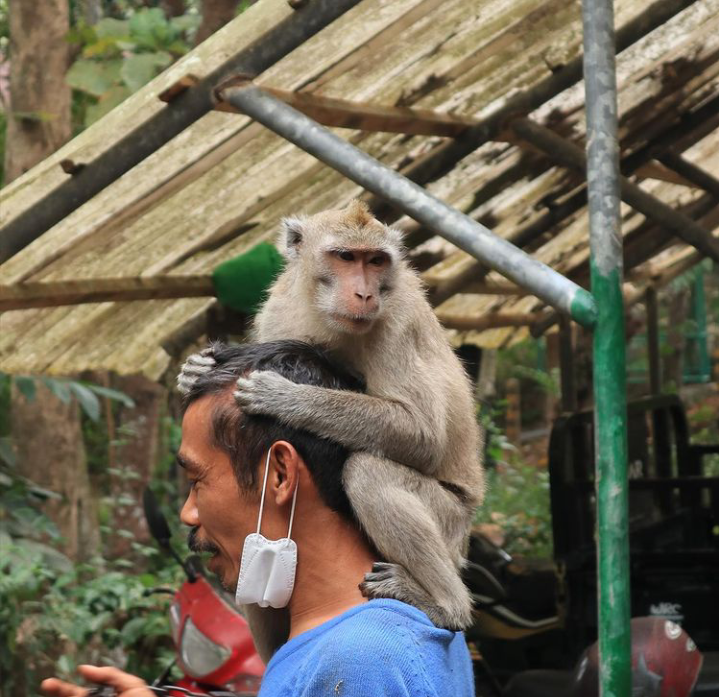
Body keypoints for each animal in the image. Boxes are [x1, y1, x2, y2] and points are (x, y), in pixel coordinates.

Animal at [179, 200, 484, 652]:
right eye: (345, 257)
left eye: (375, 261)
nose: (365, 293)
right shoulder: (280, 309)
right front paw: (196, 369)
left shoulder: (397, 319)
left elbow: (422, 435)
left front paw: (286, 398)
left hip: (452, 523)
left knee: (368, 471)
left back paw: (447, 606)